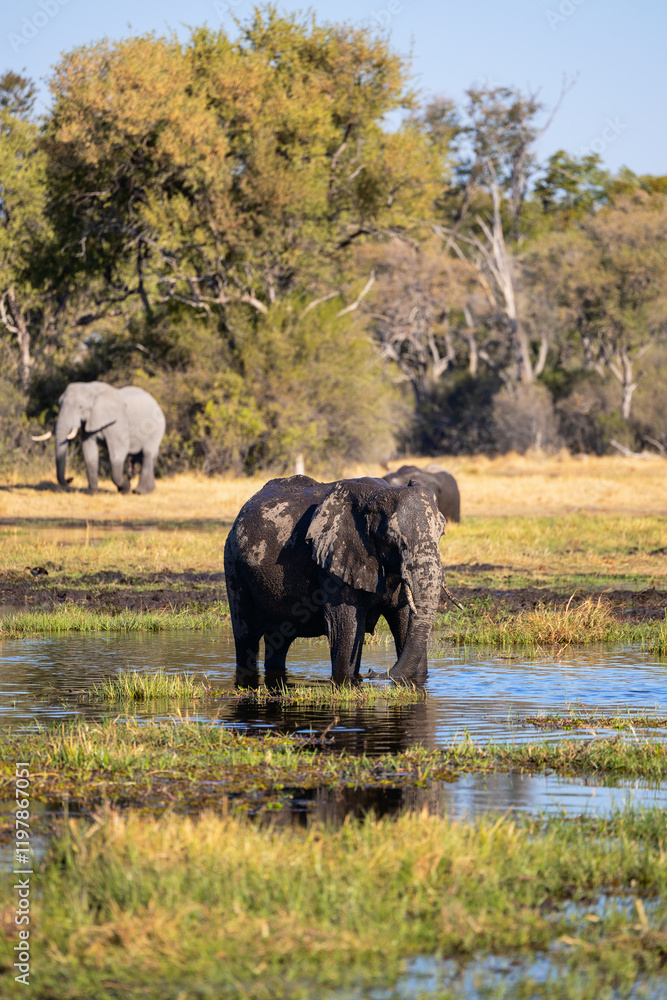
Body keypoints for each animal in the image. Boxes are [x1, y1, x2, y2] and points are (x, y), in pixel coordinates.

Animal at [32, 381, 166, 493]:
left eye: (81, 407)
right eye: (59, 406)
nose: (70, 478)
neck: (91, 389)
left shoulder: (117, 422)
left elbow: (118, 453)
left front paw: (125, 488)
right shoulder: (90, 421)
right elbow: (88, 451)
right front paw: (94, 491)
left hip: (156, 428)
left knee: (147, 454)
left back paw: (140, 492)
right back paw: (149, 490)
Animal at [224, 475, 446, 687]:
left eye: (441, 533)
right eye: (391, 539)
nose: (371, 672)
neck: (377, 494)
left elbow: (405, 619)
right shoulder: (334, 560)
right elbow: (344, 626)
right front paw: (348, 681)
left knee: (278, 642)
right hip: (233, 565)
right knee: (246, 637)